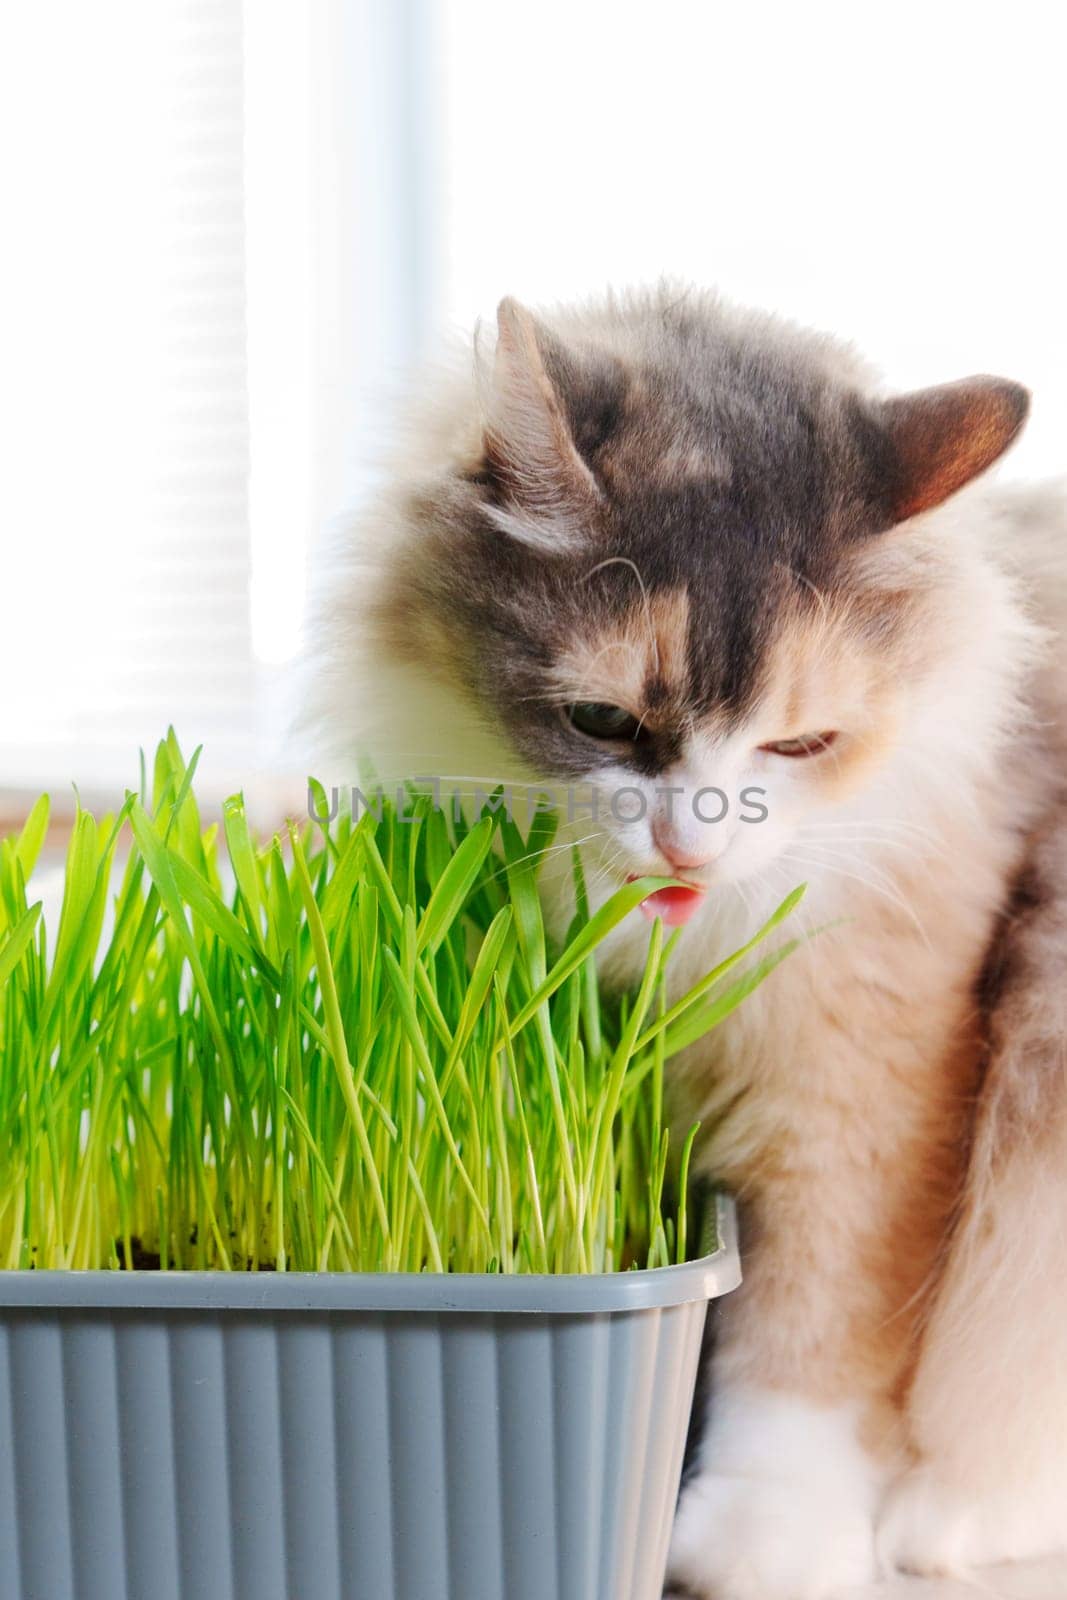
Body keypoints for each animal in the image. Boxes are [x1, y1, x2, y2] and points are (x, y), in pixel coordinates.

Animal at [303, 291, 1062, 1600]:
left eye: (800, 745)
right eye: (602, 721)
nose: (686, 844)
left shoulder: (864, 1084)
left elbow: (816, 1331)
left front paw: (766, 1536)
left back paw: (947, 1516)